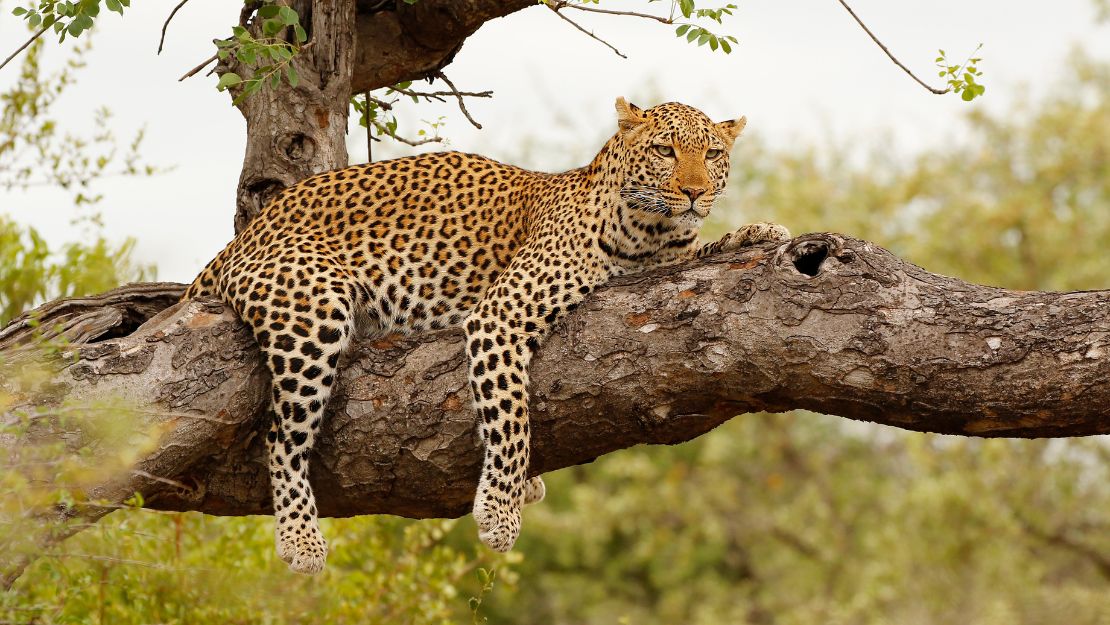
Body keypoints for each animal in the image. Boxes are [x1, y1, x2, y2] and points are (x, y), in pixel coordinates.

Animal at [182, 97, 791, 574]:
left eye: (712, 156)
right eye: (665, 151)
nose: (692, 192)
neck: (651, 234)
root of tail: (239, 242)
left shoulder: (670, 259)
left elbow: (710, 248)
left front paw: (760, 230)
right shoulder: (501, 313)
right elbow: (510, 415)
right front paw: (499, 511)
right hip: (313, 312)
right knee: (282, 436)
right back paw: (301, 539)